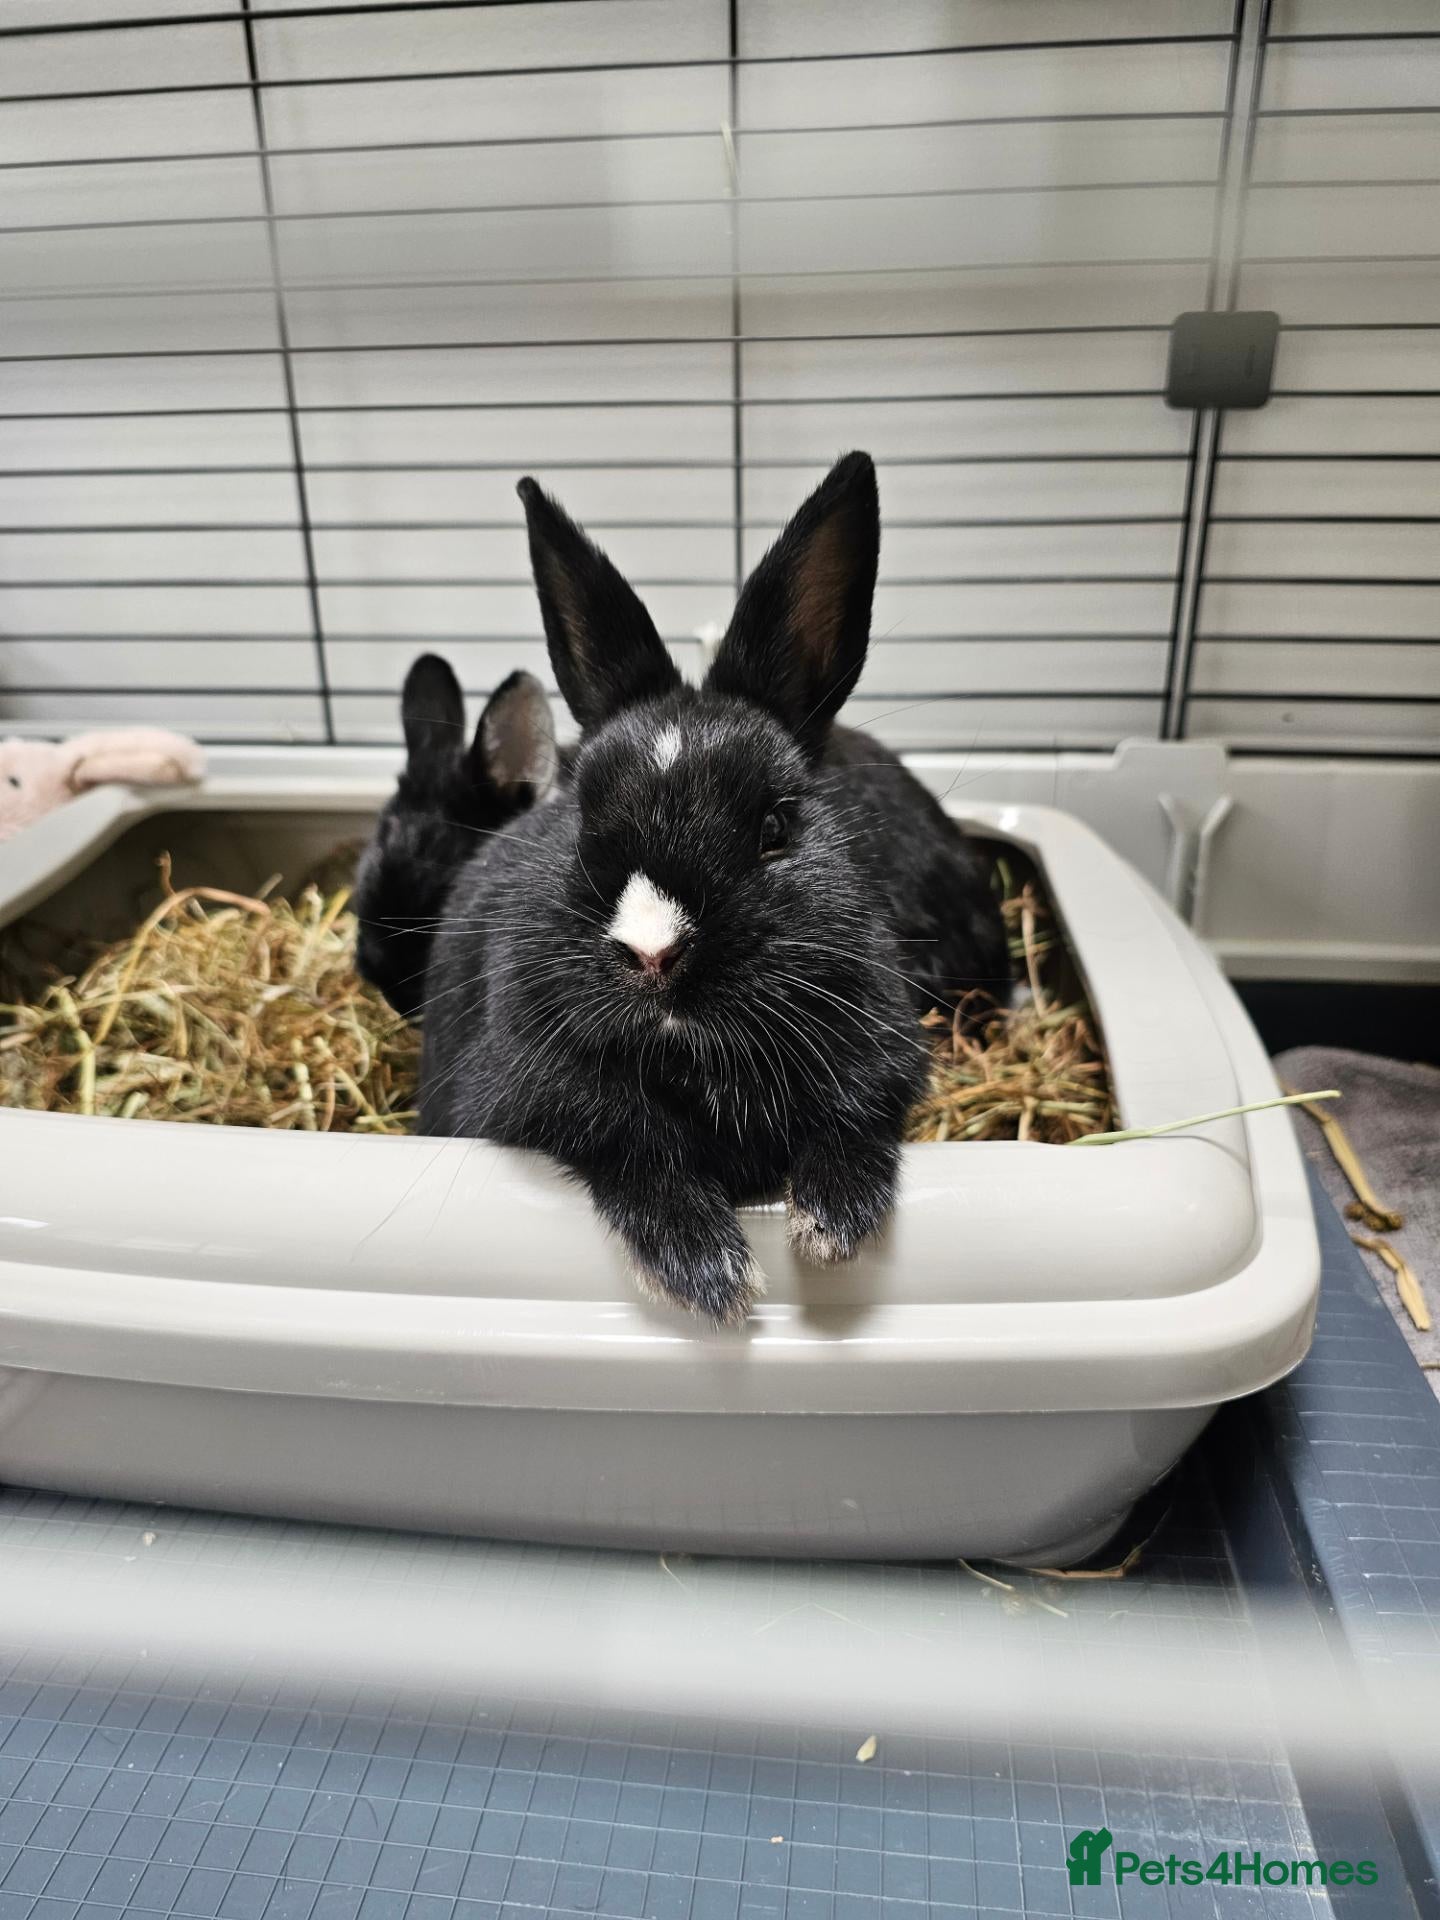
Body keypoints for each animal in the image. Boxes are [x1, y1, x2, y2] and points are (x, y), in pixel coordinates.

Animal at [419, 452, 1009, 1327]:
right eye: (581, 814)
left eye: (775, 826)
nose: (653, 952)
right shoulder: (530, 1086)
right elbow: (630, 1147)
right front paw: (707, 1273)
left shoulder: (883, 1048)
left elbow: (858, 1119)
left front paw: (830, 1227)